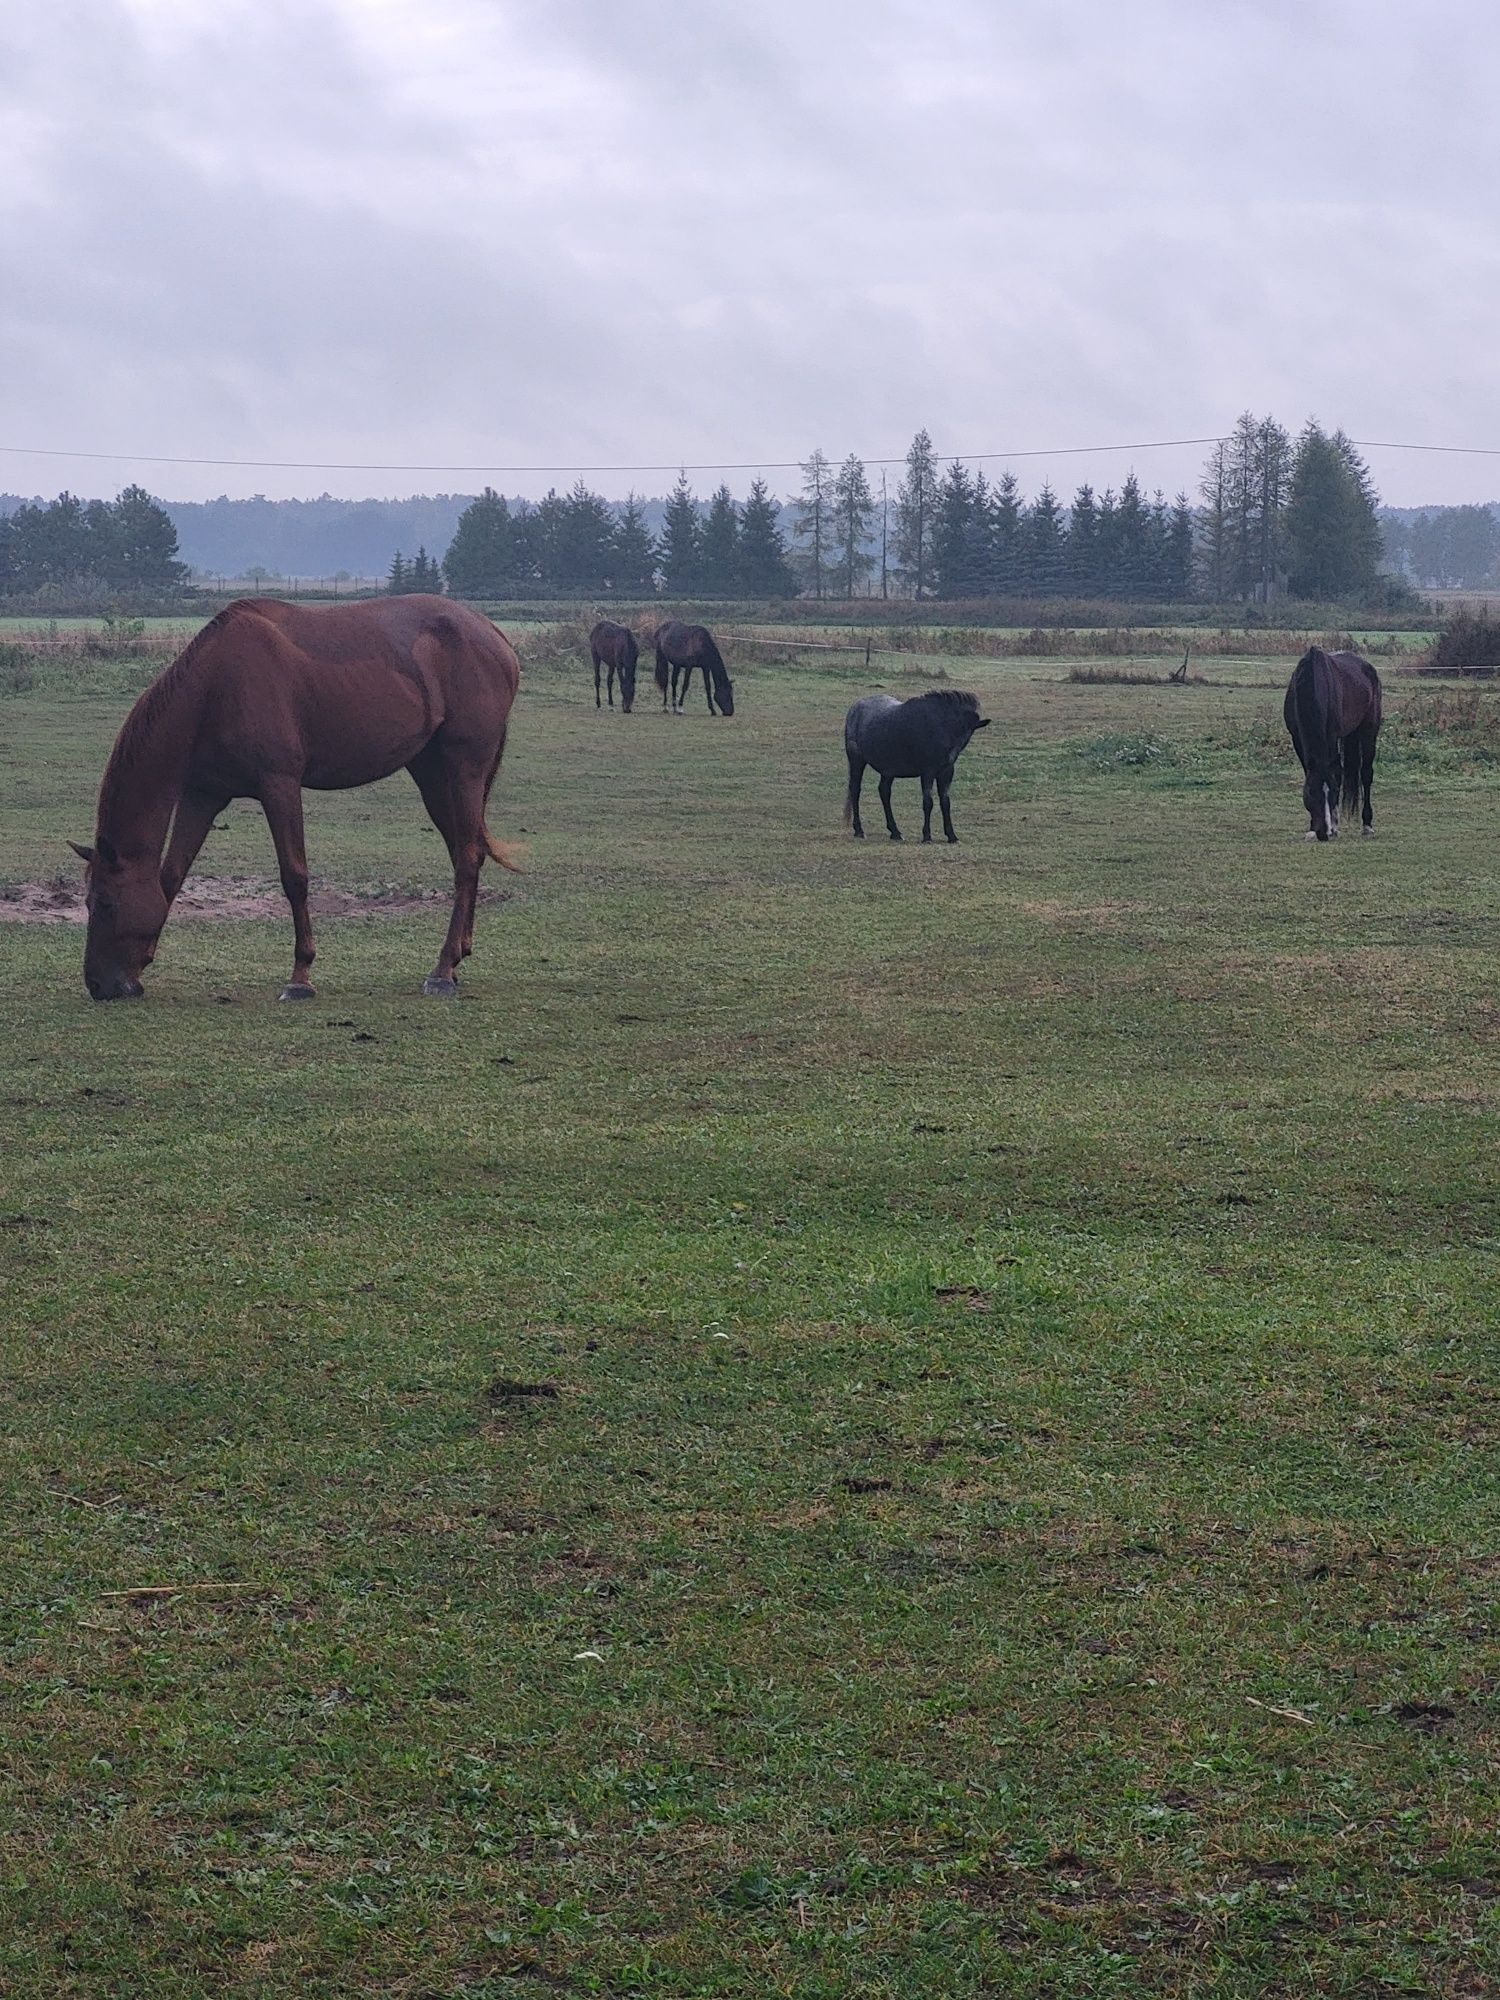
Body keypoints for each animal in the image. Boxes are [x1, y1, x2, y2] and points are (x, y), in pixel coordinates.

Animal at [73, 592, 524, 1000]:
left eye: (106, 902)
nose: (98, 986)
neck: (215, 687)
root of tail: (494, 635)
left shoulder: (280, 786)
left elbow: (295, 877)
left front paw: (300, 976)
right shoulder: (202, 796)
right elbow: (172, 875)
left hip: (464, 767)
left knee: (466, 858)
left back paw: (443, 970)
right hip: (432, 775)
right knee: (466, 852)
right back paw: (459, 955)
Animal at [840, 692, 992, 840]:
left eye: (969, 732)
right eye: (959, 728)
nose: (951, 753)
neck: (940, 725)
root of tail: (855, 708)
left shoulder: (946, 771)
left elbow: (945, 802)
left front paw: (951, 835)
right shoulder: (928, 773)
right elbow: (928, 802)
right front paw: (927, 836)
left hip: (888, 771)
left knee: (884, 792)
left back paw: (895, 832)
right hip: (857, 762)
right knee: (855, 790)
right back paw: (859, 830)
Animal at [1288, 644, 1392, 840]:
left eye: (1334, 792)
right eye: (1310, 793)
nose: (1324, 832)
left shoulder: (1331, 736)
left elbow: (1337, 773)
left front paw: (1335, 825)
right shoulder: (1296, 737)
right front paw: (1311, 829)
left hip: (1369, 729)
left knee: (1366, 774)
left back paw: (1367, 824)